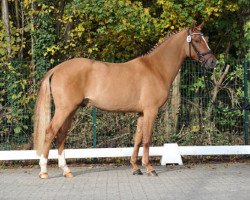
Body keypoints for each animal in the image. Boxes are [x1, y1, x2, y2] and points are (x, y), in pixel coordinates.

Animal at [33, 22, 217, 179]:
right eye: (197, 40)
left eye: (205, 40)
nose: (212, 62)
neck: (155, 68)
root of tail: (57, 68)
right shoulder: (151, 111)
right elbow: (147, 139)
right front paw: (149, 168)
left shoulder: (141, 113)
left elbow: (137, 139)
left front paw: (135, 168)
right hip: (64, 109)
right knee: (50, 132)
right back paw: (44, 171)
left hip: (71, 110)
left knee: (62, 134)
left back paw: (66, 170)